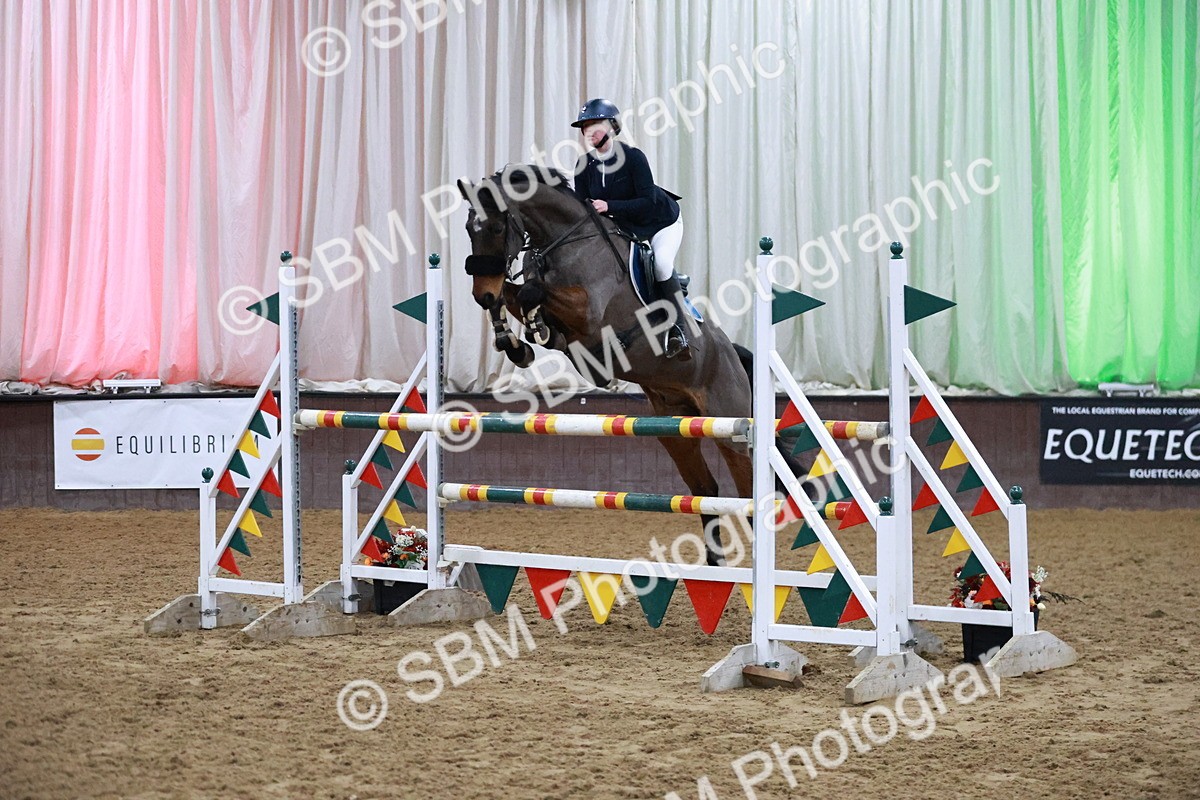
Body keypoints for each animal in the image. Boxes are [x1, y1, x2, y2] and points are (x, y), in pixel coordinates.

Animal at [455, 164, 779, 565]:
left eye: (499, 227)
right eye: (469, 229)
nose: (480, 293)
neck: (564, 242)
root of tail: (733, 353)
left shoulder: (588, 312)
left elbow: (531, 292)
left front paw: (526, 329)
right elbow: (516, 296)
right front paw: (516, 342)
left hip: (728, 424)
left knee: (744, 486)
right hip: (676, 431)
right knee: (705, 489)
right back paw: (714, 567)